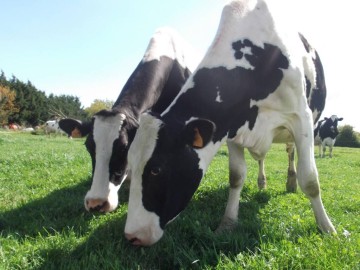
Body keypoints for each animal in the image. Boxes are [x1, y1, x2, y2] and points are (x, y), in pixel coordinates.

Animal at [125, 0, 336, 247]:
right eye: (130, 165)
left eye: (156, 169)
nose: (132, 235)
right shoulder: (232, 127)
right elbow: (236, 177)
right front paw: (227, 223)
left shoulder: (301, 119)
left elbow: (310, 179)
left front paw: (327, 227)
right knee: (261, 159)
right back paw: (262, 182)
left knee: (290, 152)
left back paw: (291, 182)